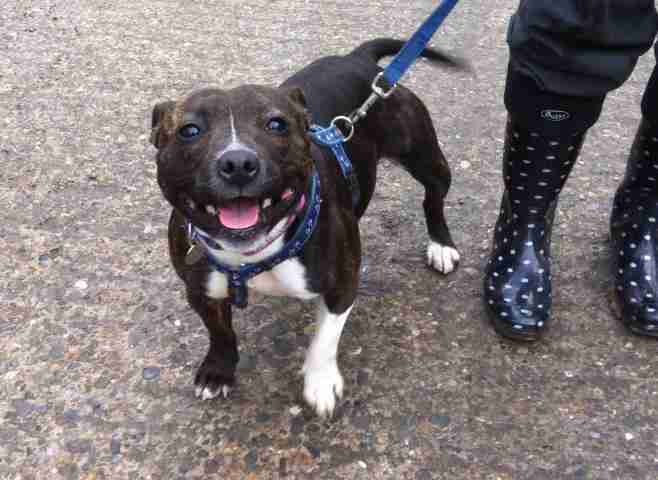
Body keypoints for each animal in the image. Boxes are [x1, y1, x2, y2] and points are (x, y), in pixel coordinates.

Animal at [150, 38, 464, 418]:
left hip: (426, 158)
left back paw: (441, 245)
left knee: (433, 198)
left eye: (276, 124)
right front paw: (218, 370)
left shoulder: (342, 286)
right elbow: (220, 332)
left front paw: (320, 383)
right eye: (189, 131)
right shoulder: (201, 290)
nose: (237, 162)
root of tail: (357, 60)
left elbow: (324, 341)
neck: (254, 254)